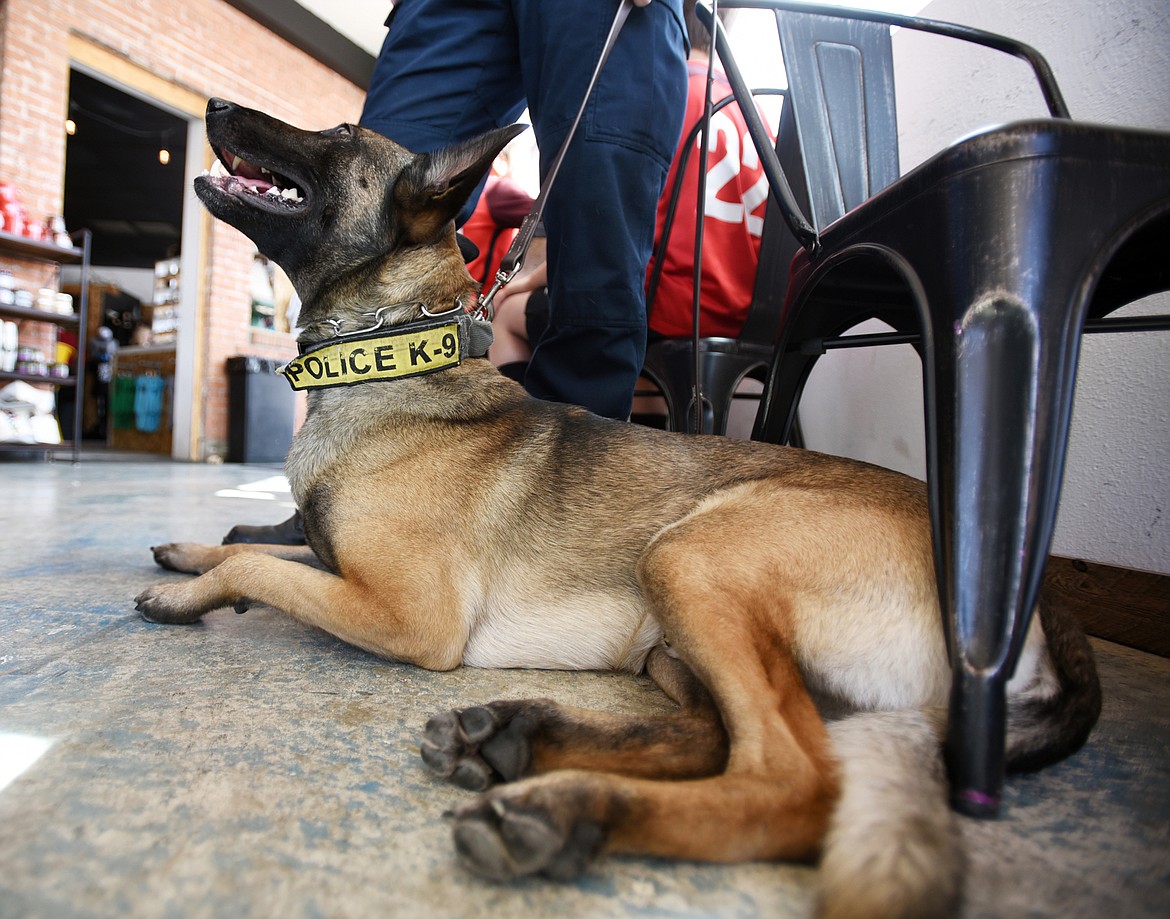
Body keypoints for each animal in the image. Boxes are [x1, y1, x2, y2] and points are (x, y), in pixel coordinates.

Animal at [132, 100, 1099, 917]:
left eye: (336, 131)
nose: (216, 106)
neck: (396, 358)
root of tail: (1035, 600)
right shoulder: (344, 570)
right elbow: (264, 550)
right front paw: (192, 553)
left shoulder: (408, 614)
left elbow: (259, 562)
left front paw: (189, 592)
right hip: (676, 638)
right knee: (714, 737)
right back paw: (520, 741)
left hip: (690, 556)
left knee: (792, 783)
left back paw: (565, 810)